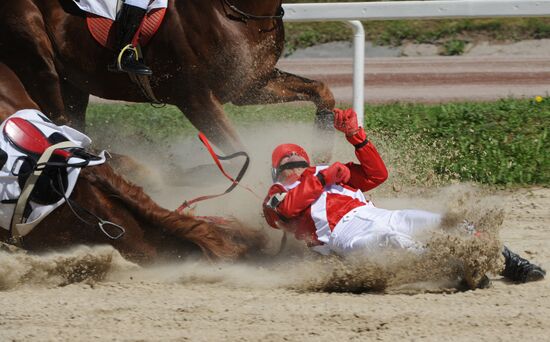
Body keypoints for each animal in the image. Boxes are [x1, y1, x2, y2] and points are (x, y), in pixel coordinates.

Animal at [0, 0, 336, 152]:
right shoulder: (195, 99)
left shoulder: (251, 85)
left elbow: (322, 92)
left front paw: (322, 144)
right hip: (38, 62)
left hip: (74, 85)